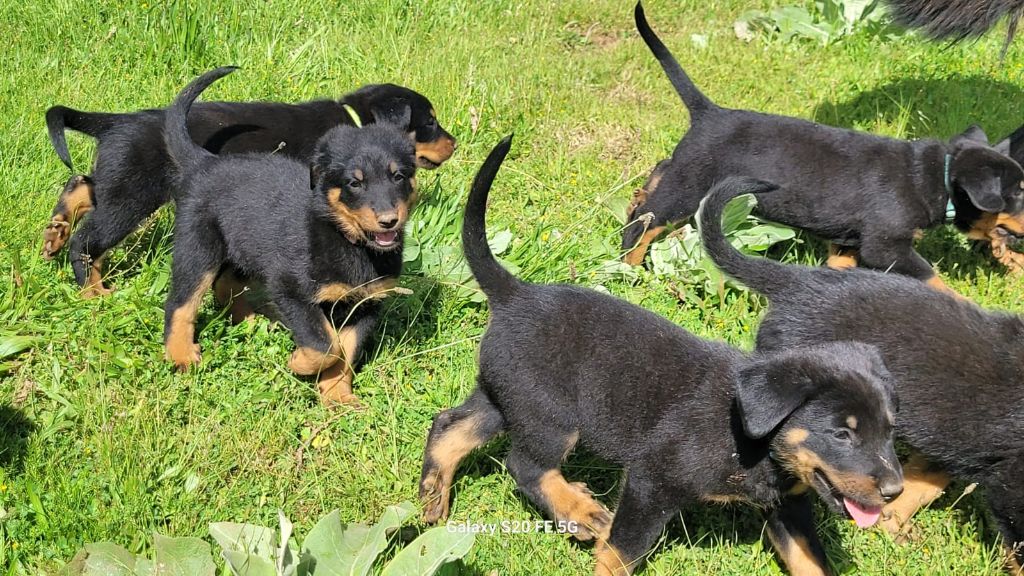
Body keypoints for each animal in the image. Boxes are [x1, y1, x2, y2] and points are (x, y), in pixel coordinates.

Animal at [44, 76, 452, 295]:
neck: (354, 121)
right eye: (430, 123)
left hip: (118, 176)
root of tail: (116, 122)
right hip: (132, 194)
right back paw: (92, 290)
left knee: (81, 184)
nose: (455, 144)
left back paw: (55, 231)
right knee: (89, 239)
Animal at [163, 68, 415, 403]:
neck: (345, 238)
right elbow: (325, 345)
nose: (388, 221)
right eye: (355, 183)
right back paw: (181, 356)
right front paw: (299, 363)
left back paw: (251, 321)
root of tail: (204, 161)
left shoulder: (365, 304)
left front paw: (337, 397)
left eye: (398, 176)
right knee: (181, 302)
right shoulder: (291, 288)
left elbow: (345, 353)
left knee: (226, 283)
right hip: (199, 246)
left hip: (248, 246)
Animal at [419, 135, 901, 573]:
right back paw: (580, 511)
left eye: (889, 432)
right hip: (552, 415)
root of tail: (514, 294)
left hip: (510, 394)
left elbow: (812, 563)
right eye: (841, 435)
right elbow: (621, 553)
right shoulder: (653, 481)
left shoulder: (789, 508)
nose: (894, 493)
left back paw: (432, 499)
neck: (754, 442)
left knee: (451, 425)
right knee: (523, 464)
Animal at [622, 2, 1024, 293]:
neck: (936, 175)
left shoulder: (848, 245)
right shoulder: (885, 246)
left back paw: (638, 196)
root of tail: (709, 112)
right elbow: (934, 279)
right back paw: (628, 270)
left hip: (684, 173)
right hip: (689, 188)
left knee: (657, 176)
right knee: (644, 224)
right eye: (1019, 192)